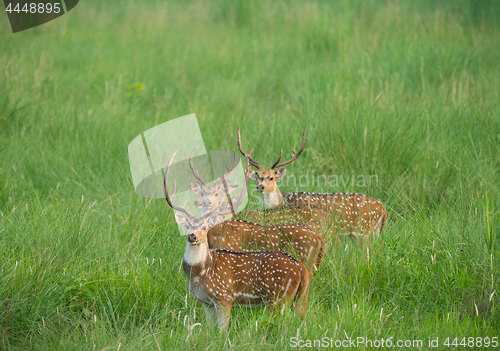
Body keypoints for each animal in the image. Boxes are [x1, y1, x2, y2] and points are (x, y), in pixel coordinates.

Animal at [166, 153, 310, 332]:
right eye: (187, 226)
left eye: (205, 227)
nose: (192, 236)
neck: (199, 274)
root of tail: (302, 269)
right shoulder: (206, 302)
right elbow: (210, 330)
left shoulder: (224, 297)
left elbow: (222, 332)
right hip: (301, 298)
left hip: (278, 297)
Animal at [237, 129, 386, 242]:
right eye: (257, 175)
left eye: (271, 177)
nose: (260, 187)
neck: (281, 202)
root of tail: (383, 208)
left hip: (364, 230)